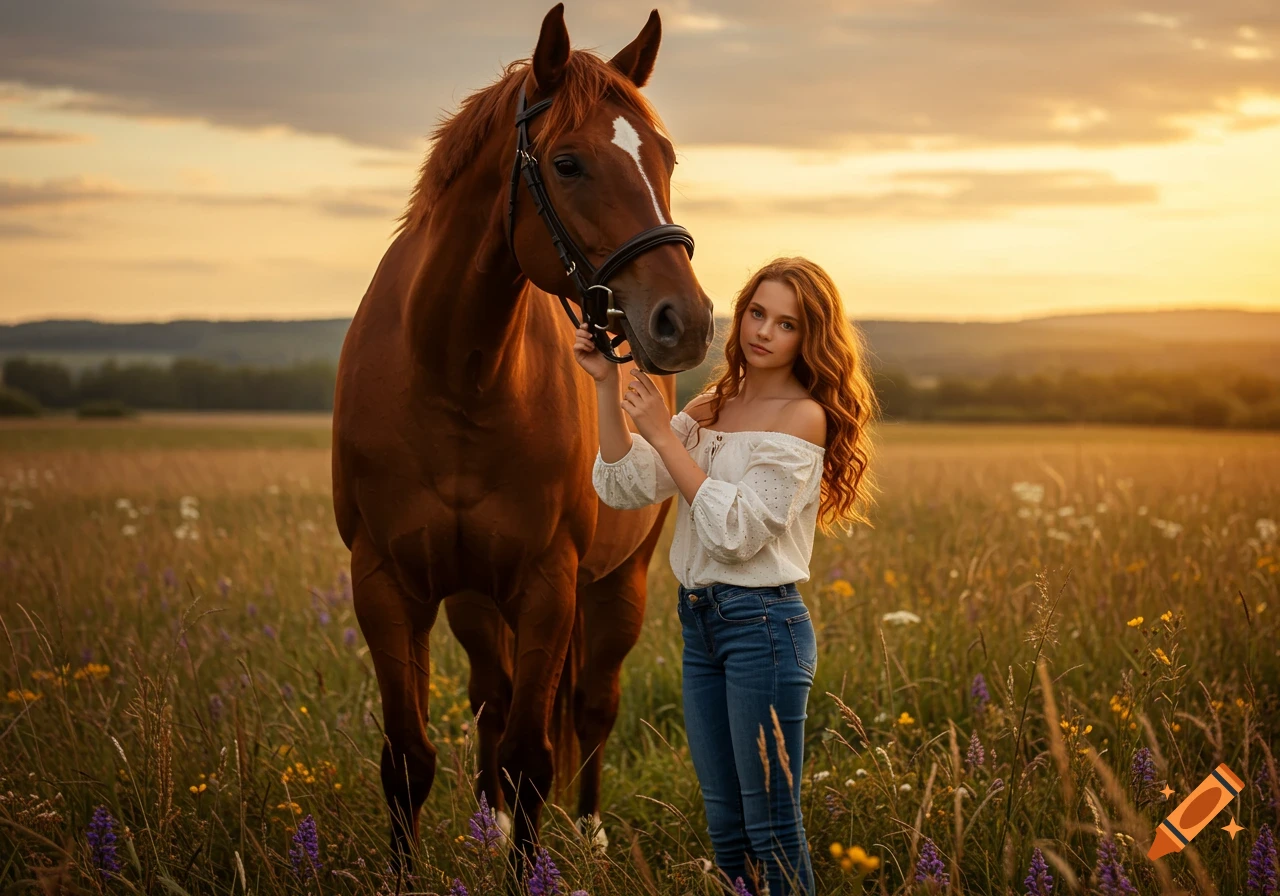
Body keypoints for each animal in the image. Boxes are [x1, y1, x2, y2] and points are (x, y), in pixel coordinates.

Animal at [331, 2, 714, 876]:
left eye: (666, 156)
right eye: (568, 163)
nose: (685, 321)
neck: (453, 377)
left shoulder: (549, 586)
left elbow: (533, 755)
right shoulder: (385, 585)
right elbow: (409, 759)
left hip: (615, 586)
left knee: (592, 706)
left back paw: (589, 831)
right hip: (475, 601)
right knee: (492, 698)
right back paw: (489, 825)